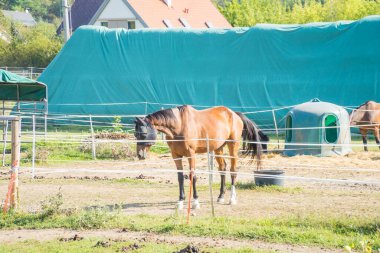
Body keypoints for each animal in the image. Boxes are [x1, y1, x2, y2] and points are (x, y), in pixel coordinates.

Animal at [135, 105, 266, 210]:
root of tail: (234, 114)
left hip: (233, 146)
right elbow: (180, 178)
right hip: (218, 148)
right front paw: (180, 202)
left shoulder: (191, 154)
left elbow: (193, 176)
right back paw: (220, 197)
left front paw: (195, 202)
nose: (140, 155)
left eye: (143, 134)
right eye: (135, 134)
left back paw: (232, 199)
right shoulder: (176, 156)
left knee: (233, 171)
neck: (179, 125)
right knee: (222, 168)